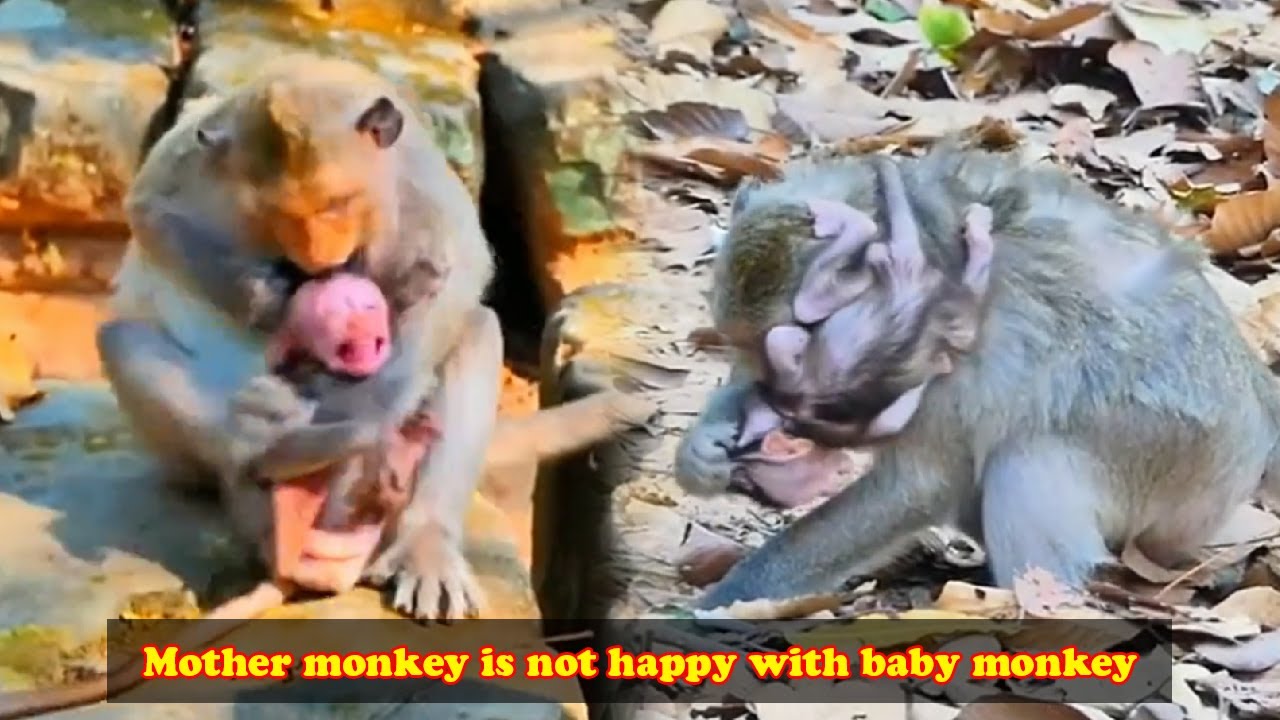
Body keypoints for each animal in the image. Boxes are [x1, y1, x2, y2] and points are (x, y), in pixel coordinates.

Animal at [100, 53, 515, 622]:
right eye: (279, 217)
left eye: (337, 205)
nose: (319, 261)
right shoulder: (196, 156)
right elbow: (148, 210)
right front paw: (267, 299)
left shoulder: (416, 174)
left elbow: (465, 265)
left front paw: (371, 411)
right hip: (183, 459)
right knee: (122, 341)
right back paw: (284, 454)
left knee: (474, 330)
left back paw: (418, 536)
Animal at [675, 143, 1280, 610]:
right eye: (744, 349)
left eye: (793, 353)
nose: (778, 399)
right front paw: (705, 448)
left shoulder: (943, 358)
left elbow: (917, 485)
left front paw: (726, 600)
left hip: (1182, 471)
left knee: (1026, 460)